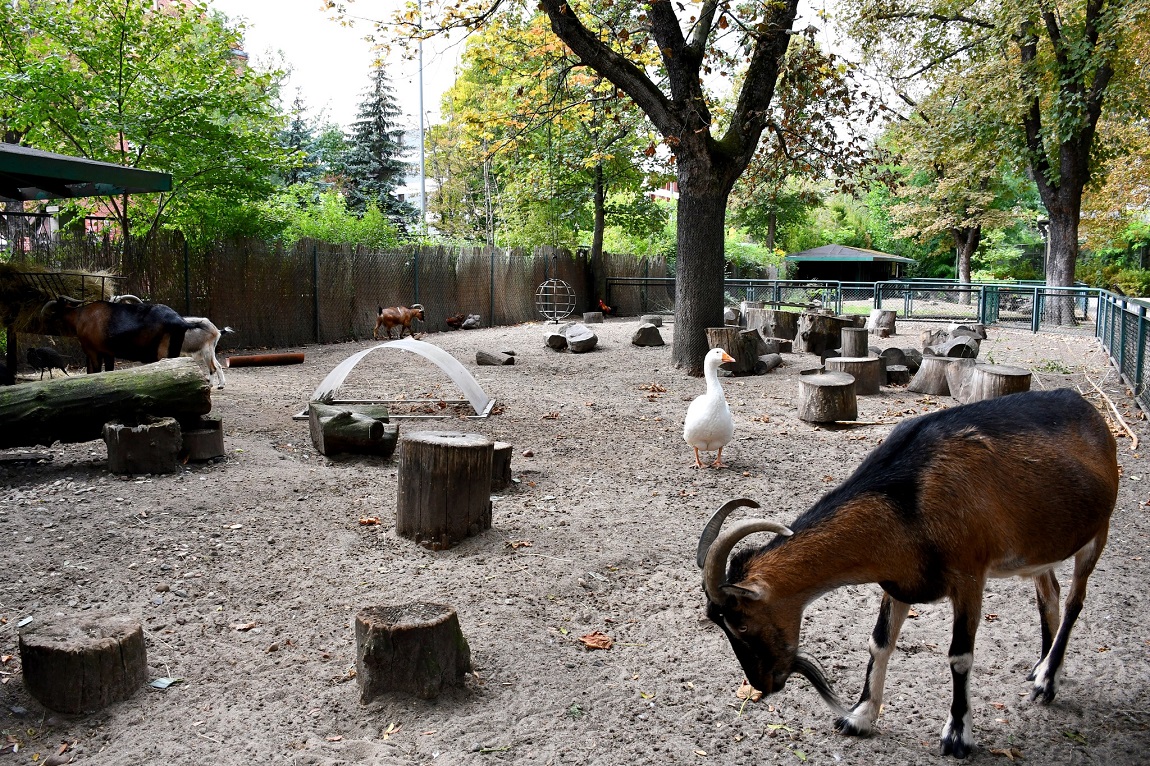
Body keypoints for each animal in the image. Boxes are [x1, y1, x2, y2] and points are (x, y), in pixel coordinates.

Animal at [694, 388, 1117, 759]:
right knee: (1050, 594)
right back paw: (1041, 668)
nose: (763, 685)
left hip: (1098, 531)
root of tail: (1089, 410)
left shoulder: (969, 577)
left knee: (1075, 601)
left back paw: (1048, 680)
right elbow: (879, 642)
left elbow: (960, 655)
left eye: (741, 624)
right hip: (1042, 548)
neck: (909, 497)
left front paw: (957, 736)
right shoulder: (897, 580)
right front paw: (859, 718)